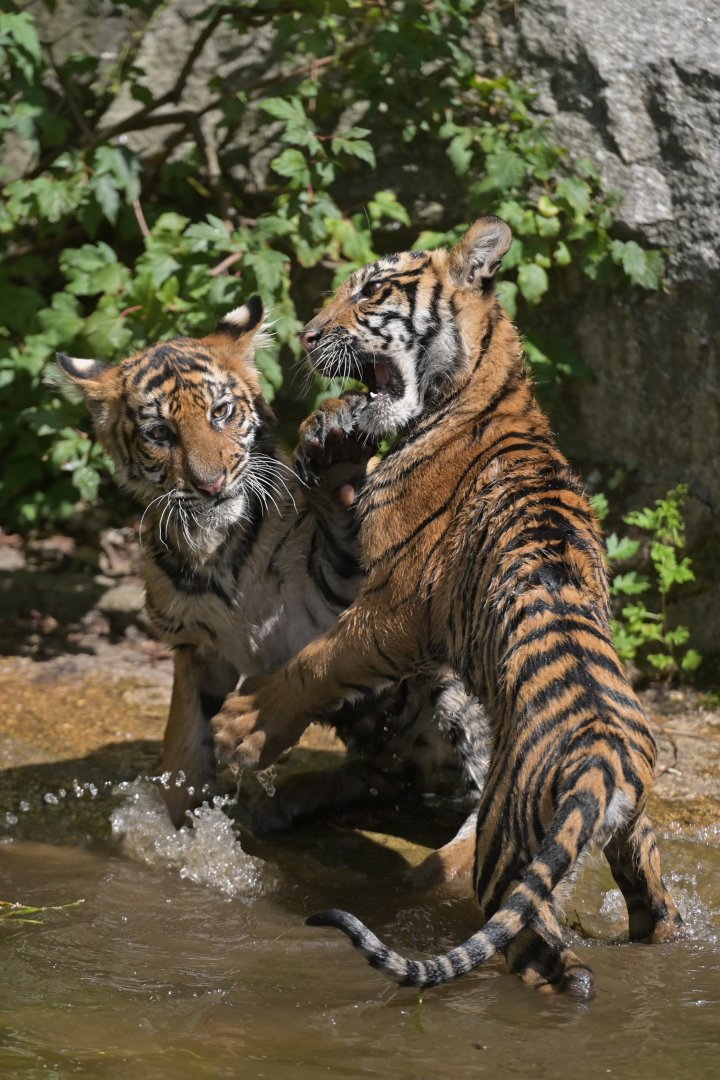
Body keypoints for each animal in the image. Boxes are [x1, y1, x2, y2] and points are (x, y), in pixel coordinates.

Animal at [56, 297, 488, 847]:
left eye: (221, 412)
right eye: (159, 434)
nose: (211, 484)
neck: (216, 550)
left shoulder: (357, 595)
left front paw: (337, 458)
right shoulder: (198, 650)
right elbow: (183, 751)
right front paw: (176, 837)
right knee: (395, 775)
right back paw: (286, 801)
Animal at [211, 220, 683, 997]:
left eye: (371, 289)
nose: (307, 335)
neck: (487, 386)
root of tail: (602, 763)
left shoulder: (393, 608)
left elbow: (316, 661)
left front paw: (244, 726)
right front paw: (329, 436)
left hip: (506, 839)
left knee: (543, 949)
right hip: (632, 836)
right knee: (650, 910)